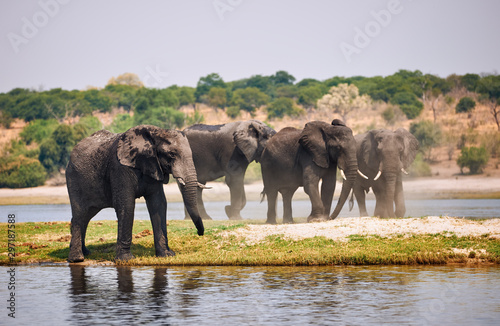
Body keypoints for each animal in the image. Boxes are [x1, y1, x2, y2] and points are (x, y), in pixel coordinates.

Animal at [66, 125, 203, 262]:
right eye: (171, 154)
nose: (199, 233)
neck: (155, 132)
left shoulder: (154, 166)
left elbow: (158, 203)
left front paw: (166, 255)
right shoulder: (120, 168)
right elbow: (126, 204)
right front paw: (126, 259)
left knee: (86, 215)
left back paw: (86, 253)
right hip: (74, 179)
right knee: (80, 214)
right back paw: (77, 258)